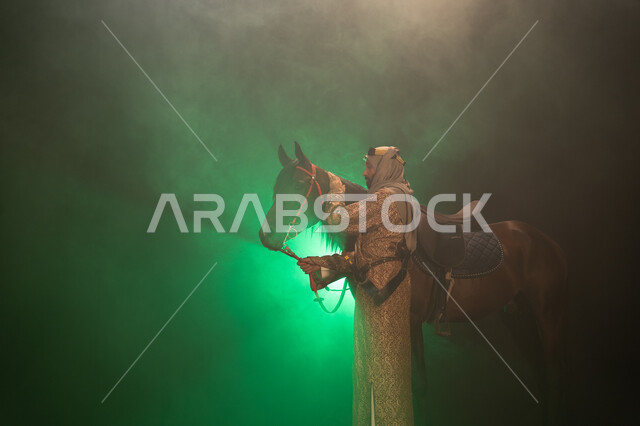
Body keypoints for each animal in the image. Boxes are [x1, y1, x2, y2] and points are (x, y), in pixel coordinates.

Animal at [259, 142, 568, 424]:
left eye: (299, 183)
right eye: (277, 185)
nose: (266, 236)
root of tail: (548, 241)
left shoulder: (412, 320)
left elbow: (419, 387)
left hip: (548, 316)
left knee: (553, 375)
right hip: (518, 319)